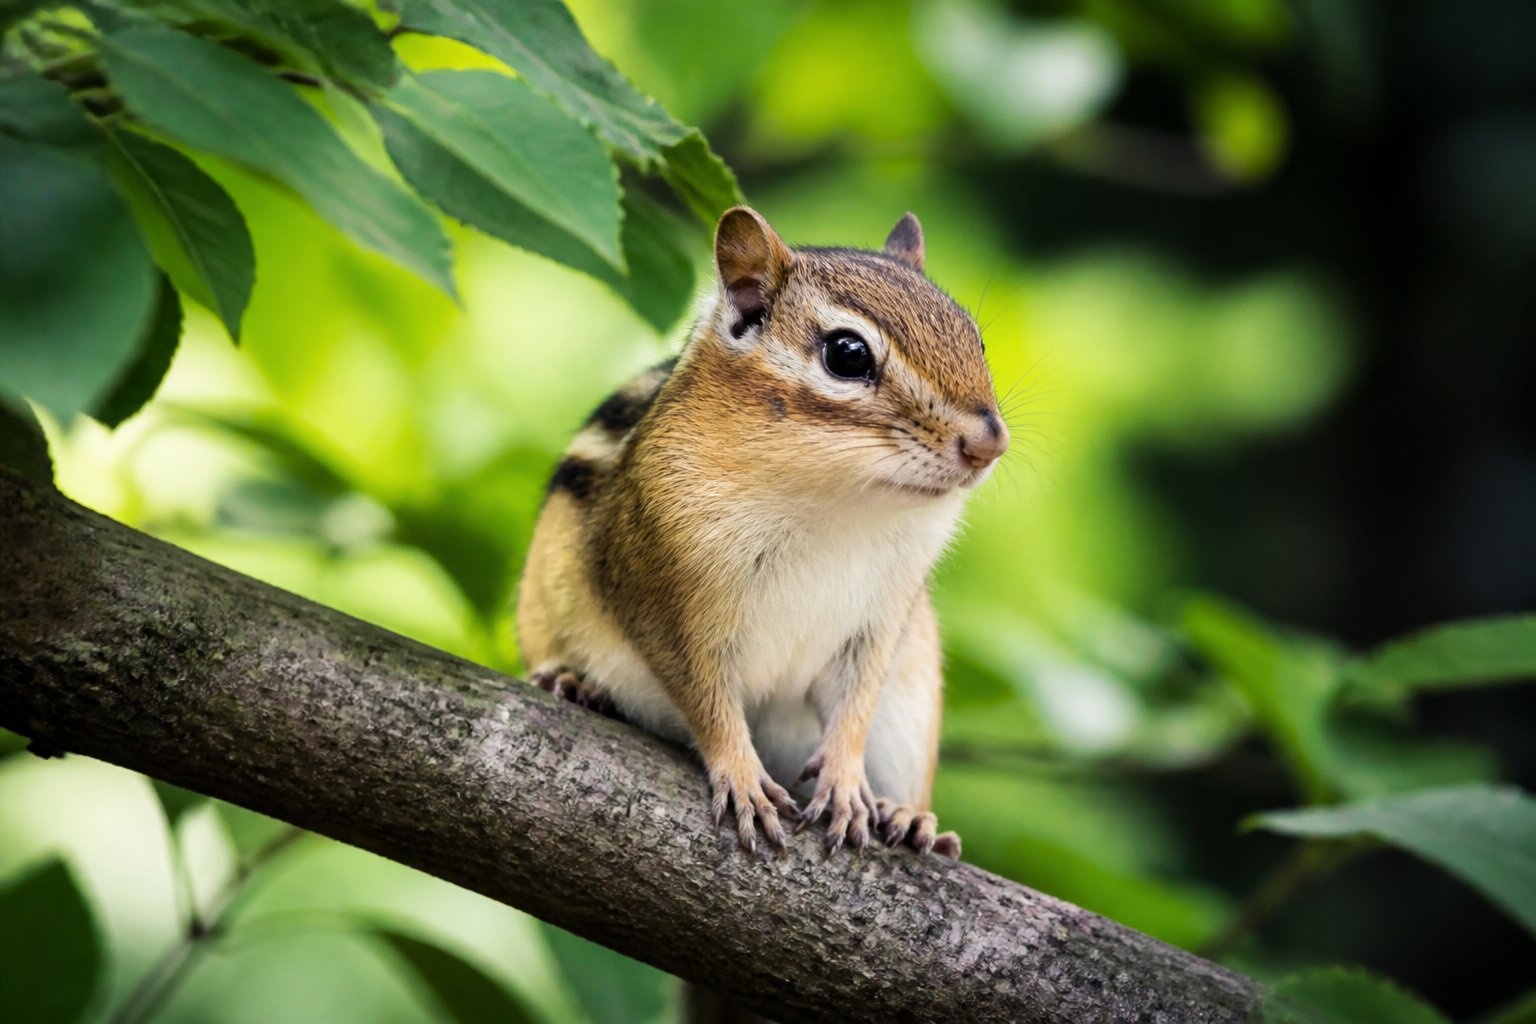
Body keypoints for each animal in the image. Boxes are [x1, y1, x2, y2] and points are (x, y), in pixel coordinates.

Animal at [516, 206, 1008, 857]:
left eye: (976, 339)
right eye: (847, 354)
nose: (989, 442)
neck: (837, 505)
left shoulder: (881, 619)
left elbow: (856, 703)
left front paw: (848, 782)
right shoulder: (666, 600)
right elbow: (706, 700)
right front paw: (743, 777)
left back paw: (907, 816)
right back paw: (572, 682)